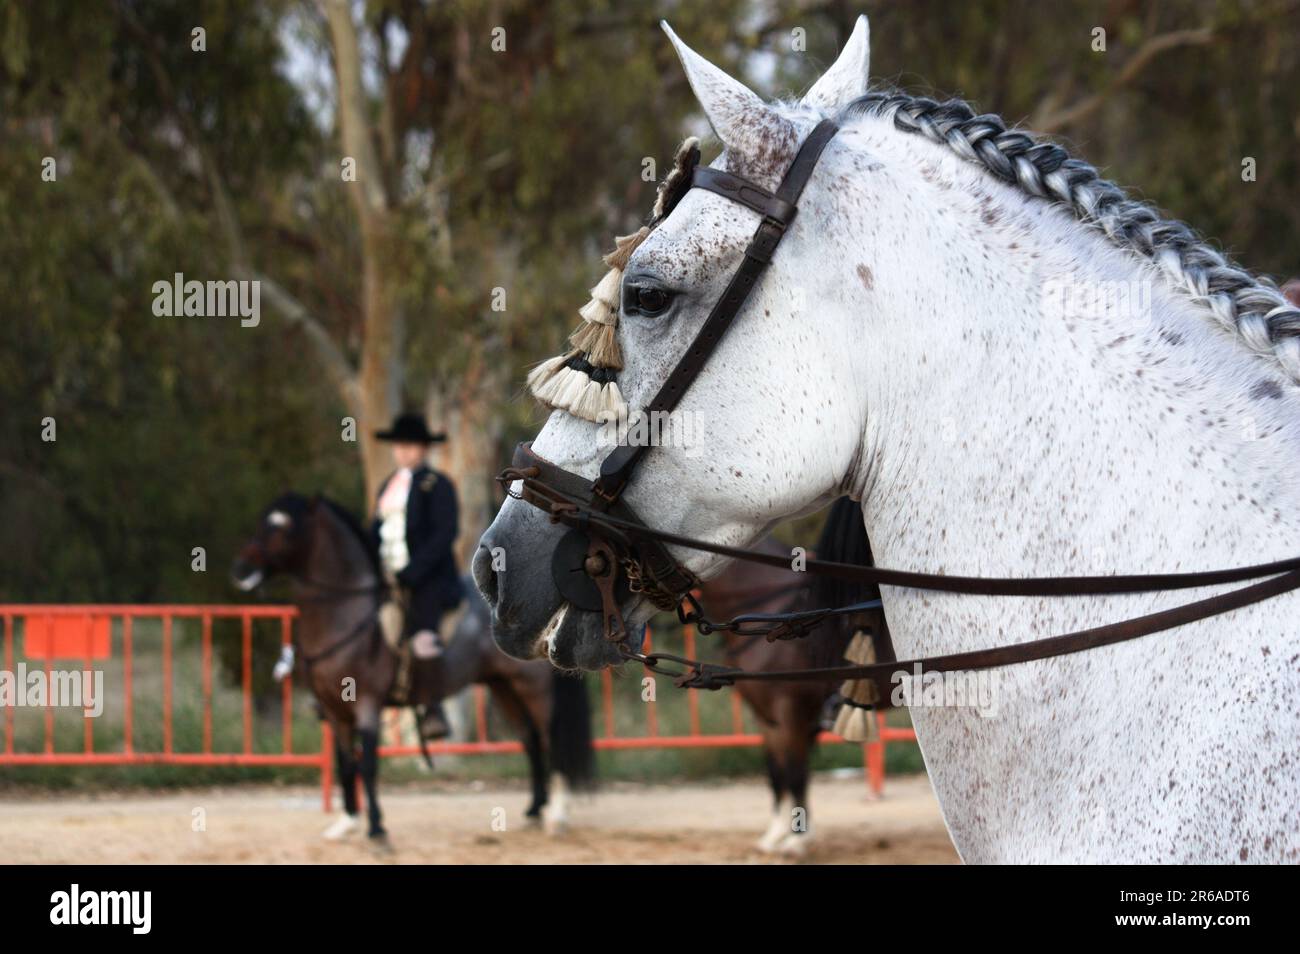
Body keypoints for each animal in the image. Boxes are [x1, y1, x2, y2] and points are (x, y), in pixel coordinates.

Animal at [231, 492, 593, 844]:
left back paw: (557, 815)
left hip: (533, 688)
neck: (344, 613)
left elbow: (368, 765)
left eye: (283, 526)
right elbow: (346, 764)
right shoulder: (334, 711)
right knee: (530, 741)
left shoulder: (366, 703)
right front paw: (347, 823)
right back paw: (534, 811)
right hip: (502, 685)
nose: (242, 570)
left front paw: (377, 830)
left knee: (551, 740)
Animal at [696, 496, 884, 855]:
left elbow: (796, 774)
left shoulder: (793, 712)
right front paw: (775, 835)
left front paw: (797, 842)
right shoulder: (766, 717)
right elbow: (777, 775)